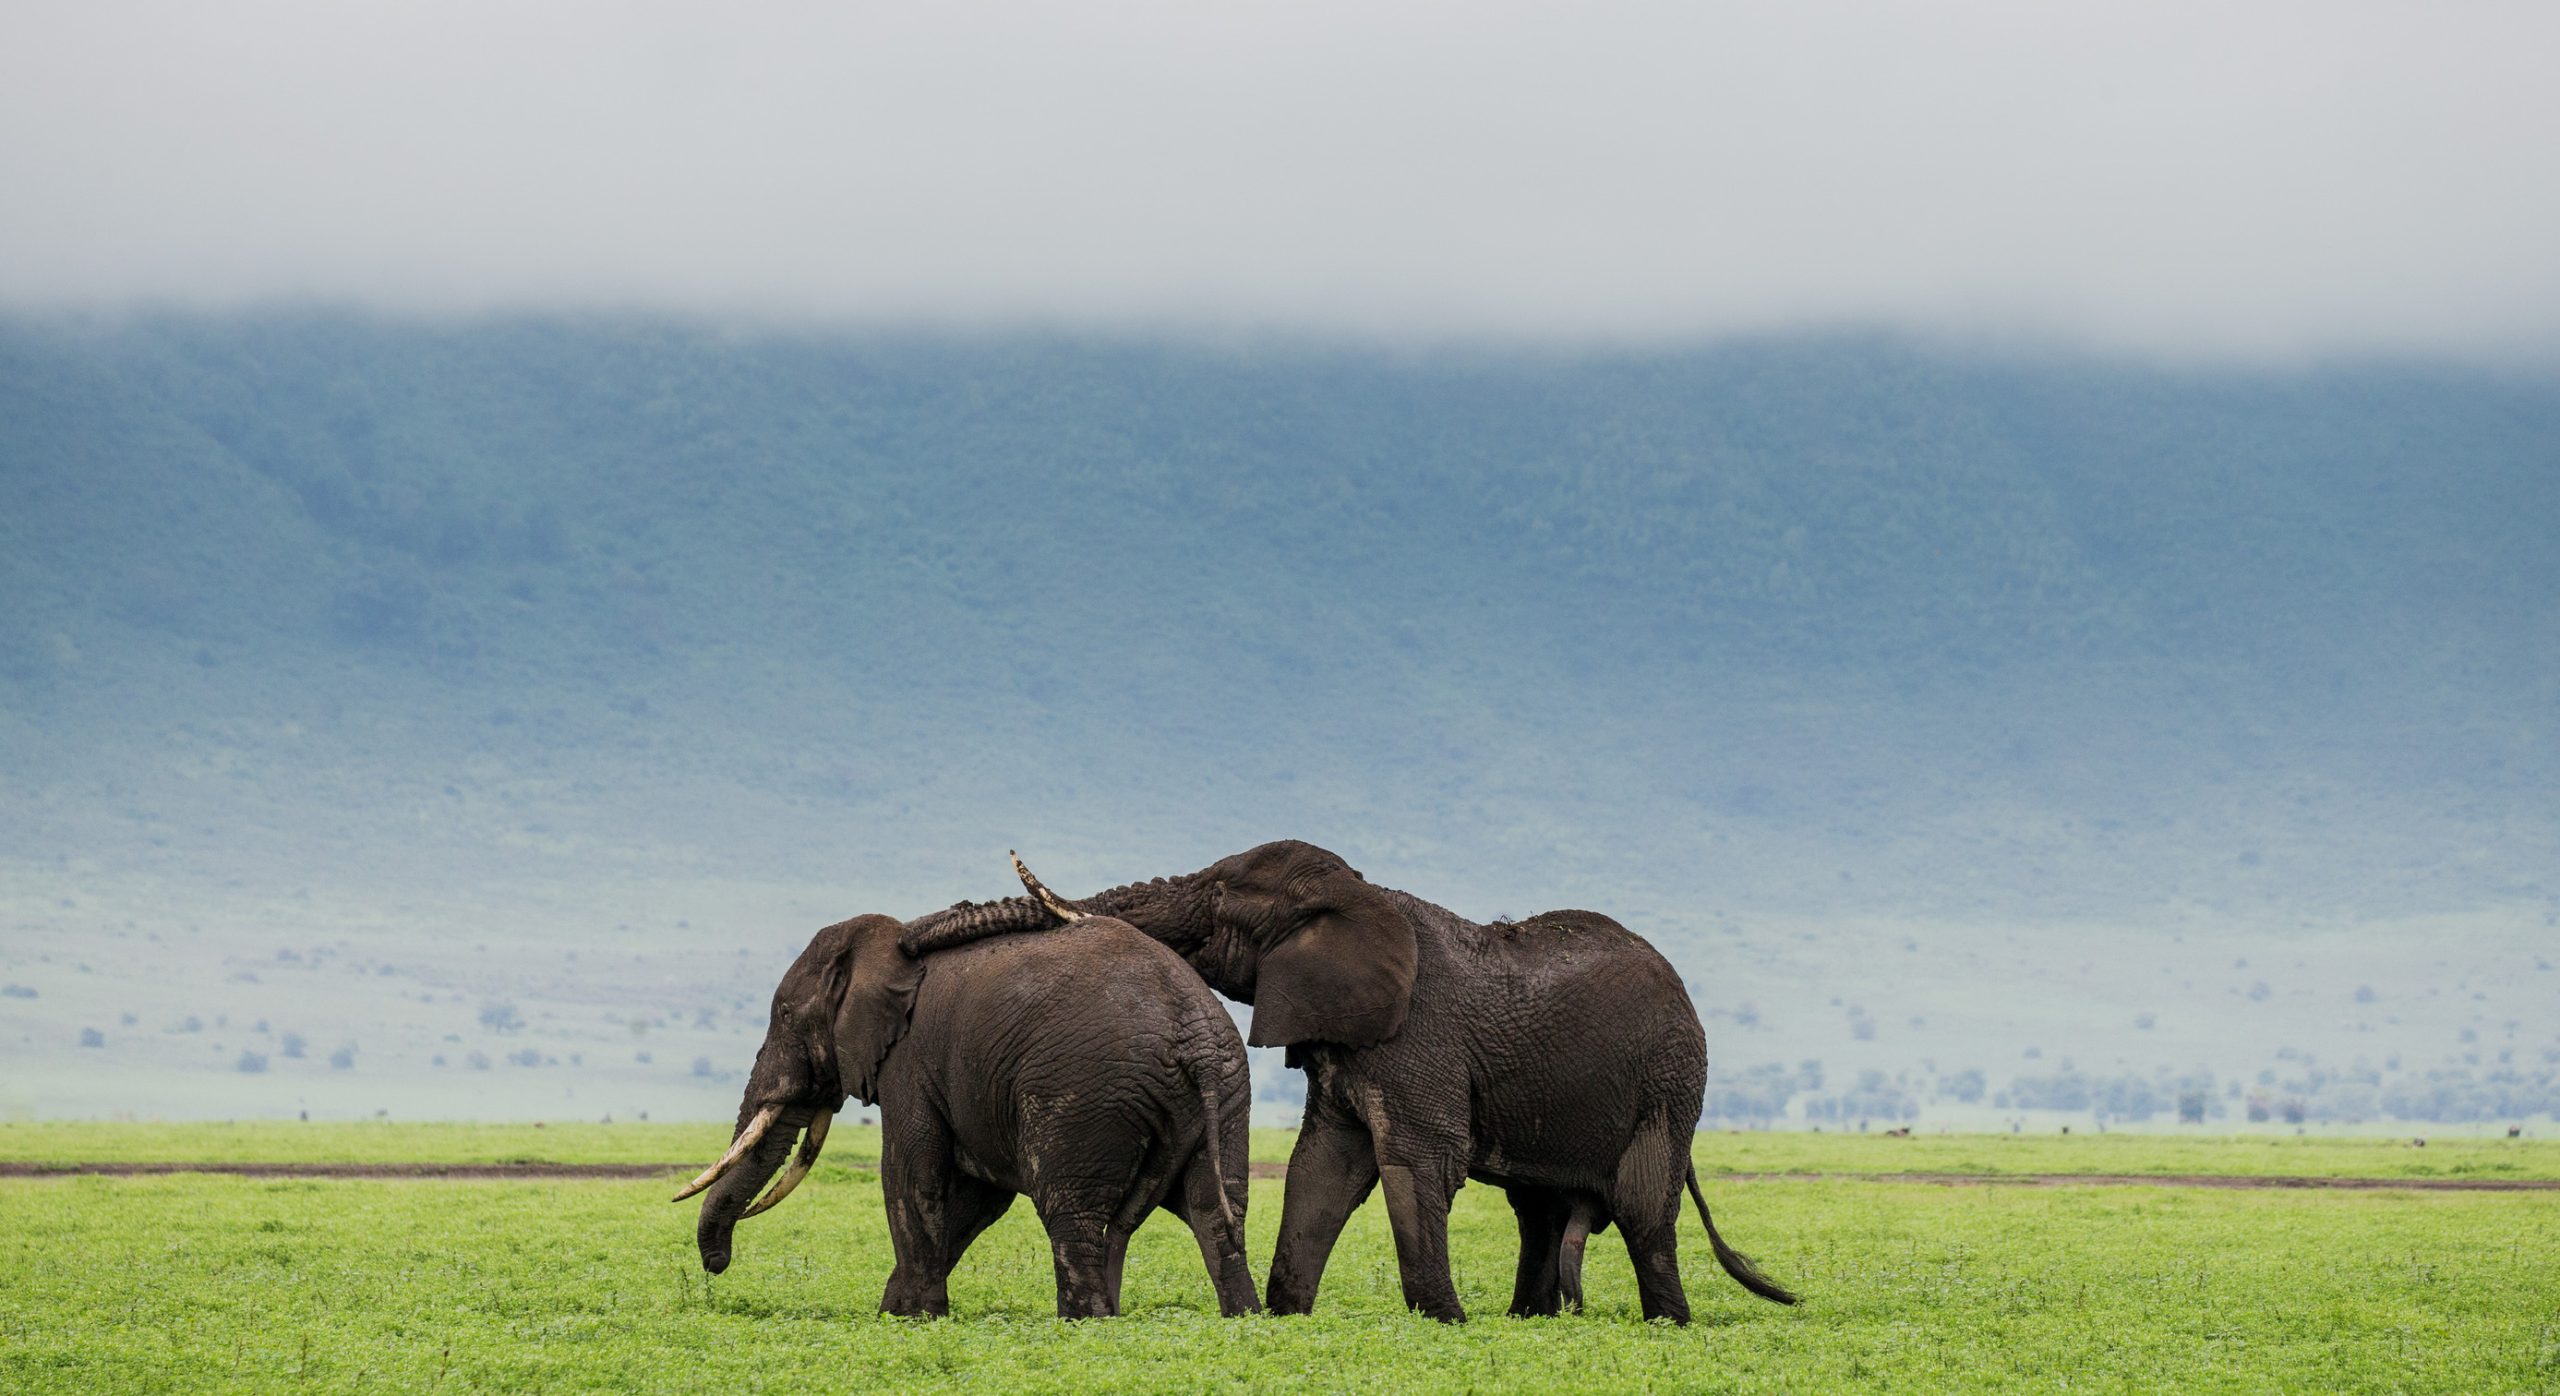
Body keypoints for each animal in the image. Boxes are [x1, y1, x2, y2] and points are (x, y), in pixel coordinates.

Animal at [676, 911, 1259, 1319]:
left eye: (784, 1013)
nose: (716, 1265)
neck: (892, 945)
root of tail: (1193, 1038)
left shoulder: (908, 1063)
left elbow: (910, 1179)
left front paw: (921, 1320)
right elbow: (976, 1200)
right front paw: (895, 1316)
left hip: (1084, 1093)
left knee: (1071, 1217)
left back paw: (1086, 1324)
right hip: (1229, 1095)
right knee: (1215, 1214)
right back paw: (1243, 1319)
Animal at [905, 842, 1795, 1324]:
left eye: (1218, 896)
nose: (910, 945)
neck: (1359, 895)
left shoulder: (1417, 1038)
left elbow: (1417, 1162)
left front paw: (1443, 1322)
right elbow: (1321, 1170)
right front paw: (1286, 1315)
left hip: (1670, 1082)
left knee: (1642, 1206)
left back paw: (1667, 1325)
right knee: (1539, 1210)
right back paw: (1530, 1319)